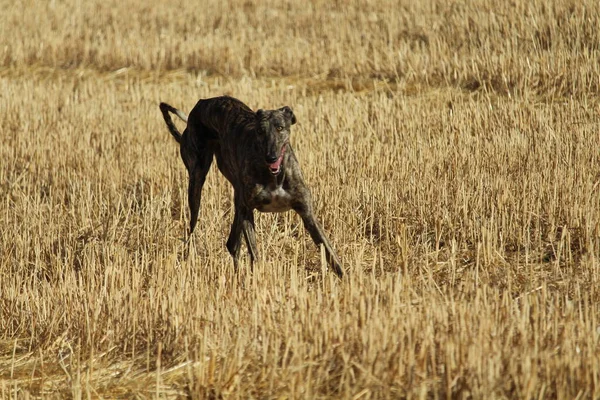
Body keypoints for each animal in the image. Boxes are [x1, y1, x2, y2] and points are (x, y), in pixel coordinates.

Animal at [159, 97, 344, 278]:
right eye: (260, 131)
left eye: (280, 128)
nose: (271, 157)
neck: (274, 176)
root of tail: (200, 104)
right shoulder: (248, 211)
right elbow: (254, 253)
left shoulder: (307, 214)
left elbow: (331, 255)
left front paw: (347, 280)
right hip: (197, 182)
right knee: (193, 230)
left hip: (236, 195)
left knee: (232, 243)